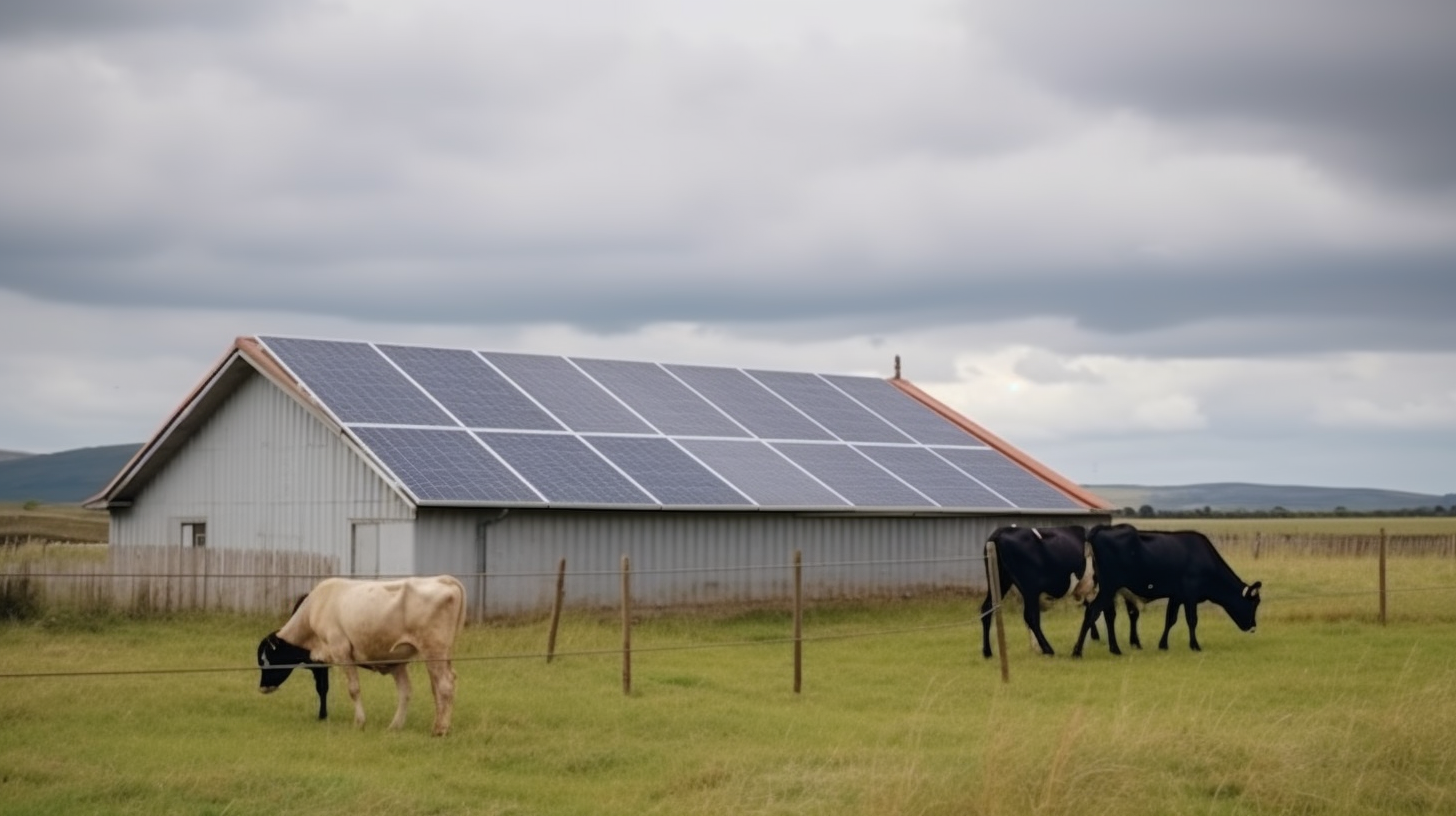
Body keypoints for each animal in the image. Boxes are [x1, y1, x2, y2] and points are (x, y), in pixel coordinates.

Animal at [256, 574, 465, 740]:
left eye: (266, 660)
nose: (262, 687)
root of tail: (444, 579)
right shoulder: (396, 662)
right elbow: (405, 692)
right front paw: (395, 726)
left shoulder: (340, 650)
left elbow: (354, 689)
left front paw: (359, 722)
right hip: (440, 655)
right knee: (438, 687)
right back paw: (438, 725)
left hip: (434, 651)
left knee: (445, 685)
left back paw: (441, 730)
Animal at [1071, 521, 1263, 655]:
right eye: (1254, 604)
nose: (1253, 627)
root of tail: (1100, 529)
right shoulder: (1191, 595)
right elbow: (1192, 620)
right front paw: (1195, 645)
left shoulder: (1177, 596)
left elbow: (1170, 619)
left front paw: (1163, 645)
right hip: (1109, 587)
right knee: (1093, 611)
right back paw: (1078, 651)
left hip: (1110, 589)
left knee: (1107, 615)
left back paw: (1115, 649)